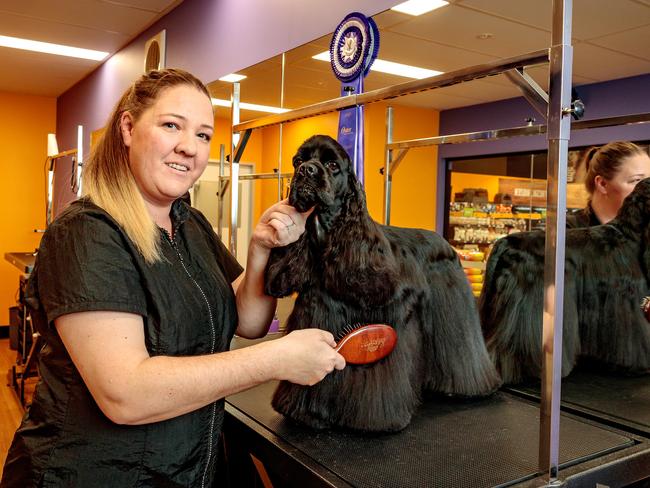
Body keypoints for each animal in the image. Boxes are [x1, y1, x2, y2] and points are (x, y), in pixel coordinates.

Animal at [264, 135, 502, 432]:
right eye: (298, 160)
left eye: (332, 165)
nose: (306, 170)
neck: (330, 240)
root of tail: (447, 243)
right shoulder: (316, 312)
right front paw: (307, 413)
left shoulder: (387, 321)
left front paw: (376, 420)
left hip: (453, 309)